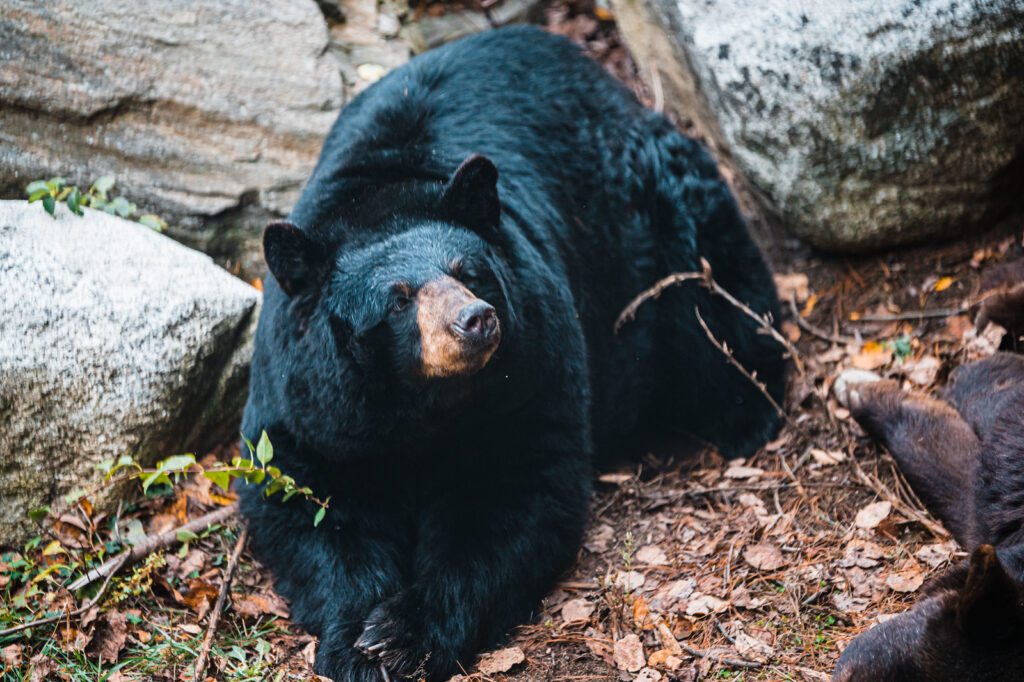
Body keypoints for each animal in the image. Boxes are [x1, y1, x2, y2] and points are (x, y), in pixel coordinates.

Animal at [240, 25, 785, 682]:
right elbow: (307, 502)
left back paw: (748, 410)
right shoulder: (308, 402)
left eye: (467, 270)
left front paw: (403, 636)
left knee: (716, 306)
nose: (475, 320)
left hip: (663, 221)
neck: (422, 408)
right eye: (397, 300)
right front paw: (356, 641)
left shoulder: (531, 372)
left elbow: (513, 494)